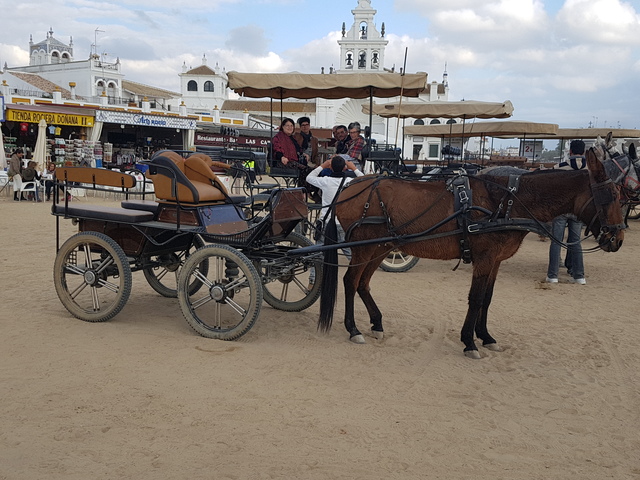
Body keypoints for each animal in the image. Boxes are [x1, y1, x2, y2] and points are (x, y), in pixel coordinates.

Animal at [318, 142, 624, 356]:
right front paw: (469, 341)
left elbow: (487, 299)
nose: (617, 239)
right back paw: (353, 328)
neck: (507, 201)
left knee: (363, 284)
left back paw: (377, 323)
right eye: (611, 196)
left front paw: (485, 337)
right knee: (350, 281)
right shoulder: (484, 258)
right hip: (365, 248)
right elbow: (475, 299)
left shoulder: (495, 261)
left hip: (380, 248)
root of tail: (348, 188)